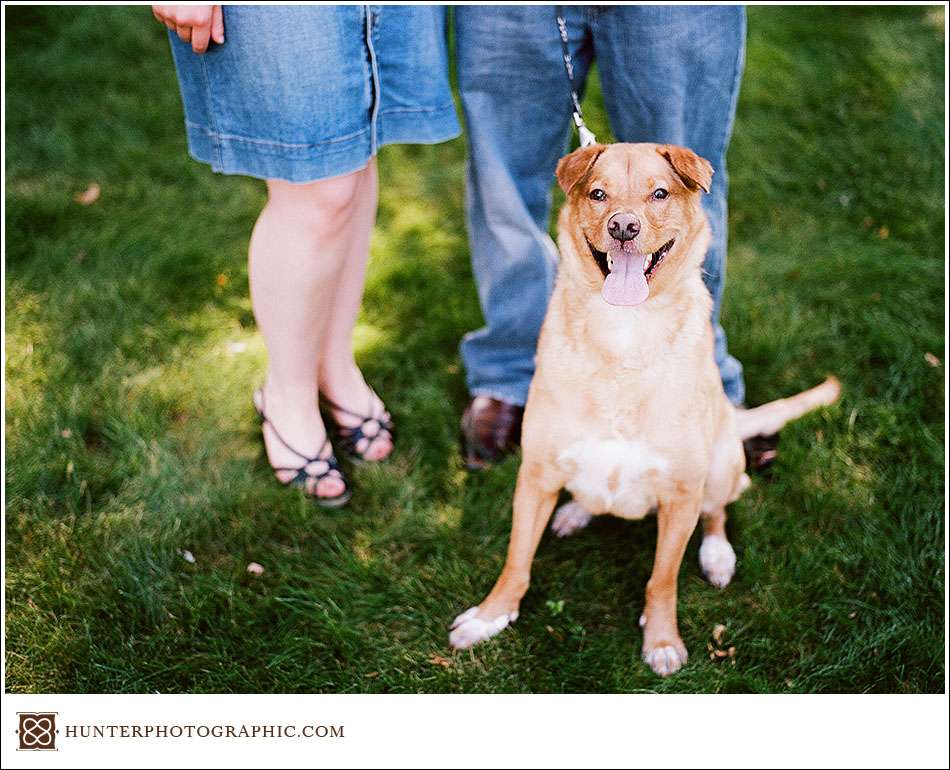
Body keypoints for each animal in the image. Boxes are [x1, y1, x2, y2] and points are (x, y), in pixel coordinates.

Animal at [450, 142, 844, 672]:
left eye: (660, 193)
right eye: (598, 194)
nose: (623, 227)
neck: (624, 330)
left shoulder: (680, 494)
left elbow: (663, 579)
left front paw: (661, 640)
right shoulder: (535, 474)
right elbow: (516, 560)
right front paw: (490, 616)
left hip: (719, 465)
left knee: (719, 510)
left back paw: (717, 555)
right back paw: (575, 512)